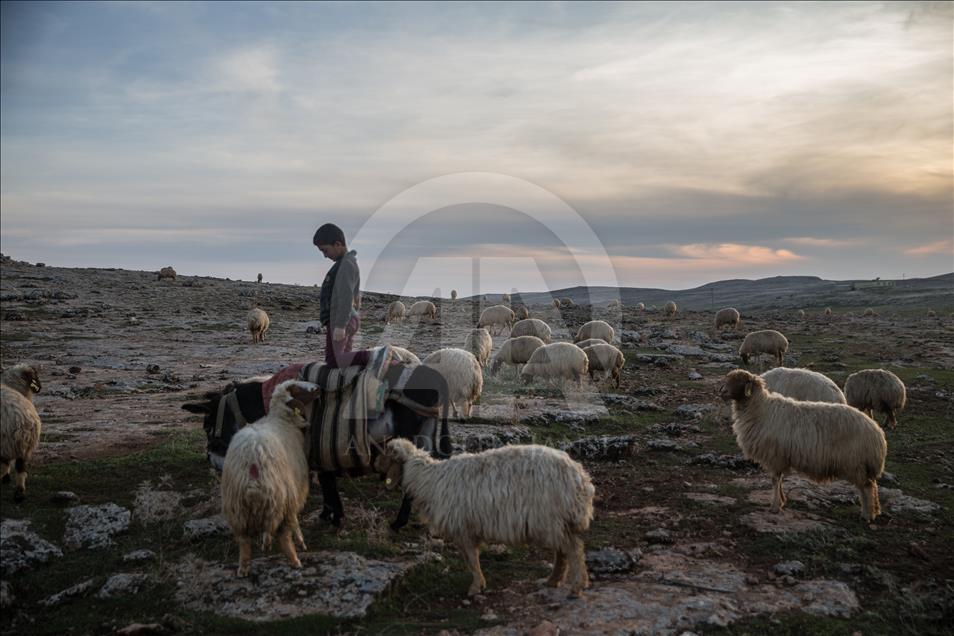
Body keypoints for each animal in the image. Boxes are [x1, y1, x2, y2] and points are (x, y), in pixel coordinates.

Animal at [0, 362, 42, 502]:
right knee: (21, 468)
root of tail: (22, 419)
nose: (39, 387)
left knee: (6, 465)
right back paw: (19, 494)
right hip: (24, 447)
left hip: (6, 442)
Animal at [219, 380, 316, 580]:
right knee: (285, 536)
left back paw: (243, 568)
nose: (318, 388)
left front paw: (265, 542)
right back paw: (295, 560)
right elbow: (295, 522)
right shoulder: (294, 490)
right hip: (280, 499)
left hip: (238, 509)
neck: (281, 419)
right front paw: (301, 541)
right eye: (299, 389)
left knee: (244, 542)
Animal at [376, 440, 592, 600]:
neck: (428, 481)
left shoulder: (464, 529)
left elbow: (472, 560)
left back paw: (576, 587)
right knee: (563, 551)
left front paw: (476, 587)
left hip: (550, 518)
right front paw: (479, 584)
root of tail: (580, 477)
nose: (374, 464)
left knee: (574, 549)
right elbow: (470, 558)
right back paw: (553, 580)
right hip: (556, 522)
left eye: (387, 454)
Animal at [720, 368, 884, 520]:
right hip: (860, 465)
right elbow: (779, 480)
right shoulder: (780, 456)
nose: (721, 391)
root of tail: (876, 432)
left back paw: (867, 515)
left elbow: (775, 480)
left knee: (866, 488)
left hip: (856, 462)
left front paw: (775, 506)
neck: (760, 409)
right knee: (870, 486)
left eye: (739, 381)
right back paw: (872, 511)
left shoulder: (775, 456)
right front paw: (782, 500)